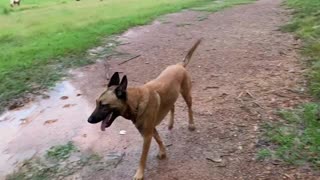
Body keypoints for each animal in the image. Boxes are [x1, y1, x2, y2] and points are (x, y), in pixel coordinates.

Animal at [87, 38, 201, 179]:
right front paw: (163, 152)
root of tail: (179, 65)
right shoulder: (150, 130)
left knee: (190, 108)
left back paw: (191, 124)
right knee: (172, 106)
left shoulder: (146, 135)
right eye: (97, 103)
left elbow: (142, 157)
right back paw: (170, 123)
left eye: (104, 105)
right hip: (171, 96)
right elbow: (159, 139)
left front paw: (139, 173)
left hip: (186, 94)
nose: (89, 120)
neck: (135, 102)